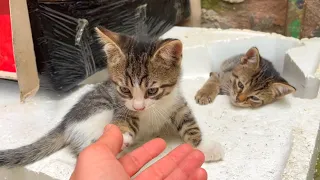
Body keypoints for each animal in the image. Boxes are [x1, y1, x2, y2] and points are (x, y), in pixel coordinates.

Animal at [0, 27, 224, 167]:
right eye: (124, 90)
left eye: (152, 91)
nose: (139, 107)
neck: (155, 107)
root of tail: (65, 122)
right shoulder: (123, 105)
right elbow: (124, 118)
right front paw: (122, 135)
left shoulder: (176, 102)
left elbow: (188, 122)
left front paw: (203, 146)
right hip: (99, 109)